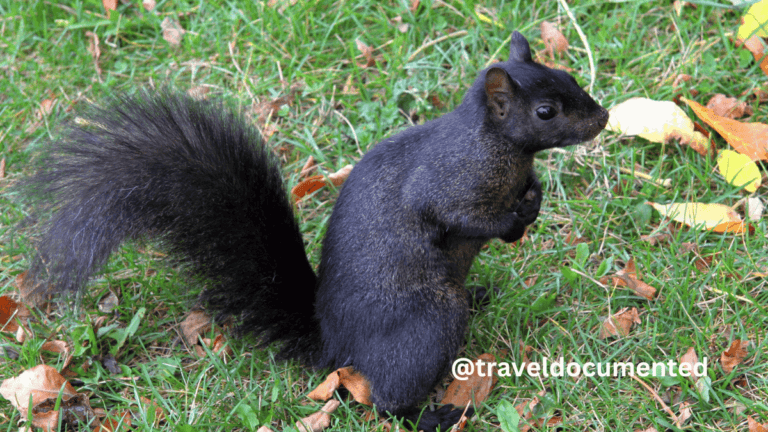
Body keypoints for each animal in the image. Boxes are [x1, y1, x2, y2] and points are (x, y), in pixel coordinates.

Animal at [19, 31, 608, 431]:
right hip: (428, 321)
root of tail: (337, 347)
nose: (602, 118)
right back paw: (429, 415)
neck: (499, 147)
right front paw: (515, 217)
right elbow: (463, 217)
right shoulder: (447, 183)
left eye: (571, 76)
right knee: (389, 400)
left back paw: (479, 294)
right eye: (546, 111)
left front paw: (534, 198)